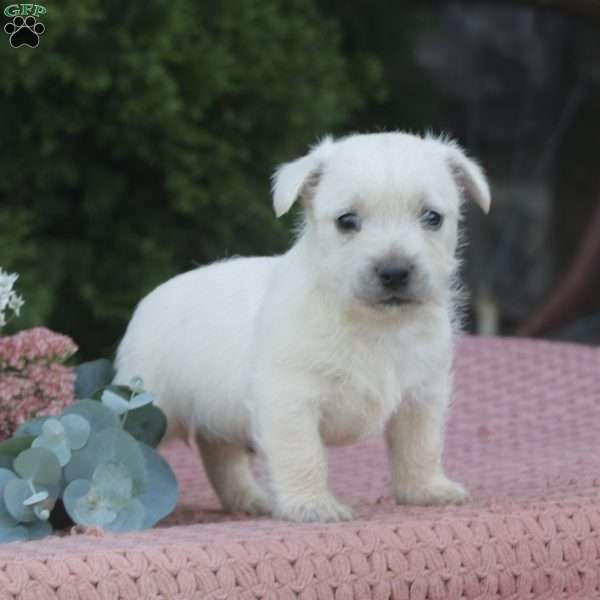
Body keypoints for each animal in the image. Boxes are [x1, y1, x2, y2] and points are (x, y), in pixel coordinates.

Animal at [115, 131, 490, 520]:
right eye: (347, 221)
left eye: (432, 217)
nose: (394, 272)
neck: (373, 323)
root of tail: (148, 301)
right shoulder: (290, 402)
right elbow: (303, 455)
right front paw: (312, 505)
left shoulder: (422, 396)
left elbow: (420, 446)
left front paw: (425, 489)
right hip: (151, 405)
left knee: (220, 453)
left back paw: (249, 499)